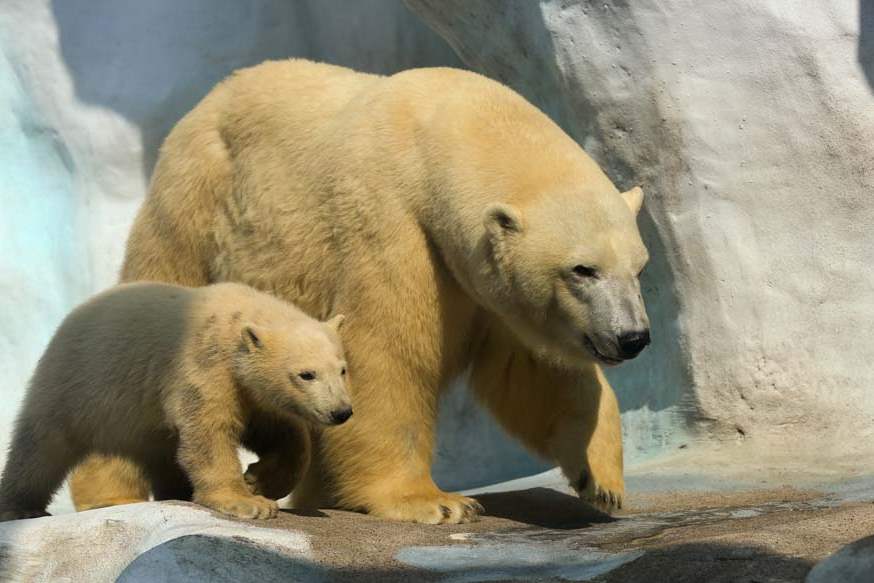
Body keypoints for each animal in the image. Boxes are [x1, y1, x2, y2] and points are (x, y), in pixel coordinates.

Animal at [73, 59, 648, 524]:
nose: (634, 338)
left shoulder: (478, 281)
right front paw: (434, 502)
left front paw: (602, 480)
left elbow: (533, 369)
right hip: (195, 206)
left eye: (639, 266)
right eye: (582, 270)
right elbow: (383, 353)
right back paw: (110, 492)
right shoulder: (393, 223)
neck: (436, 132)